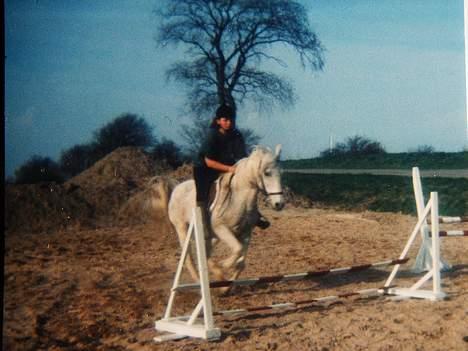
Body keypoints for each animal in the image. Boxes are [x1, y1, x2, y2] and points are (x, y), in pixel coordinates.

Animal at [168, 144, 286, 288]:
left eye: (281, 173)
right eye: (267, 173)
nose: (279, 204)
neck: (239, 199)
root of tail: (176, 187)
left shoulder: (245, 232)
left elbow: (241, 261)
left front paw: (225, 286)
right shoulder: (221, 229)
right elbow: (238, 249)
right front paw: (223, 265)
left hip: (211, 237)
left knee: (206, 254)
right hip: (183, 229)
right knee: (189, 258)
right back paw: (199, 281)